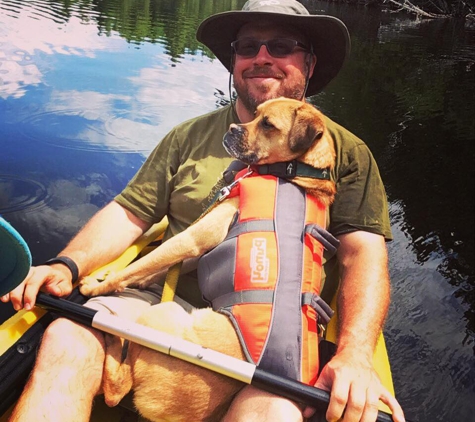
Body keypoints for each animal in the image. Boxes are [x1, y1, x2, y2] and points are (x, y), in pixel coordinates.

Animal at [80, 97, 336, 420]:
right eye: (255, 113)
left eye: (268, 124)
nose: (233, 127)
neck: (295, 173)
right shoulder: (198, 246)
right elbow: (155, 267)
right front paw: (138, 280)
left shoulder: (195, 237)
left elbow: (141, 264)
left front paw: (96, 285)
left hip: (159, 316)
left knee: (117, 389)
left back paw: (114, 340)